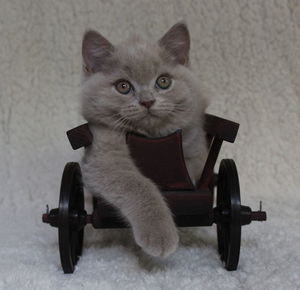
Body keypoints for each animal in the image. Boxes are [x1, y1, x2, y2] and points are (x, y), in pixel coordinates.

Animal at [81, 23, 210, 258]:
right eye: (123, 86)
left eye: (163, 81)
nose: (147, 101)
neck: (151, 136)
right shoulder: (102, 155)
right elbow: (138, 184)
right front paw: (160, 234)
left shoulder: (195, 151)